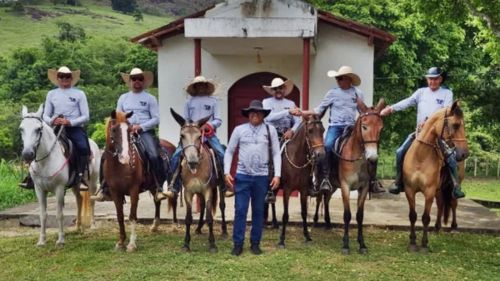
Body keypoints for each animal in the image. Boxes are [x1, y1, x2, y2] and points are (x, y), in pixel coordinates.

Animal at [20, 104, 100, 246]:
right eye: (21, 129)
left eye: (38, 129)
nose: (27, 154)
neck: (46, 161)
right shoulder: (39, 189)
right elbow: (43, 215)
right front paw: (41, 241)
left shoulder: (59, 189)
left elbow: (59, 214)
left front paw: (61, 239)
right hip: (75, 184)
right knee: (79, 199)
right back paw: (78, 227)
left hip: (93, 182)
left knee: (91, 199)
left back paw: (93, 225)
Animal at [103, 110, 174, 252]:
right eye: (114, 129)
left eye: (129, 129)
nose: (125, 157)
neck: (119, 167)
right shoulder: (115, 192)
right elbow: (120, 216)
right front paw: (120, 242)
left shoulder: (134, 190)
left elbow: (132, 216)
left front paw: (131, 244)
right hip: (153, 186)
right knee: (157, 201)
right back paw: (155, 226)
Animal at [276, 114, 326, 247]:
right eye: (310, 131)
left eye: (323, 130)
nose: (320, 154)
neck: (297, 159)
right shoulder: (287, 190)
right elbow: (285, 215)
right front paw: (282, 239)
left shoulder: (303, 190)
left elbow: (304, 213)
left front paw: (307, 236)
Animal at [402, 101, 468, 252]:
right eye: (456, 125)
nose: (464, 154)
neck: (420, 156)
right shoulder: (410, 190)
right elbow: (412, 216)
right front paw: (412, 242)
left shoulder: (429, 191)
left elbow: (425, 218)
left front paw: (424, 244)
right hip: (439, 190)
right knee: (441, 204)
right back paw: (437, 228)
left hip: (453, 185)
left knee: (453, 203)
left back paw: (454, 227)